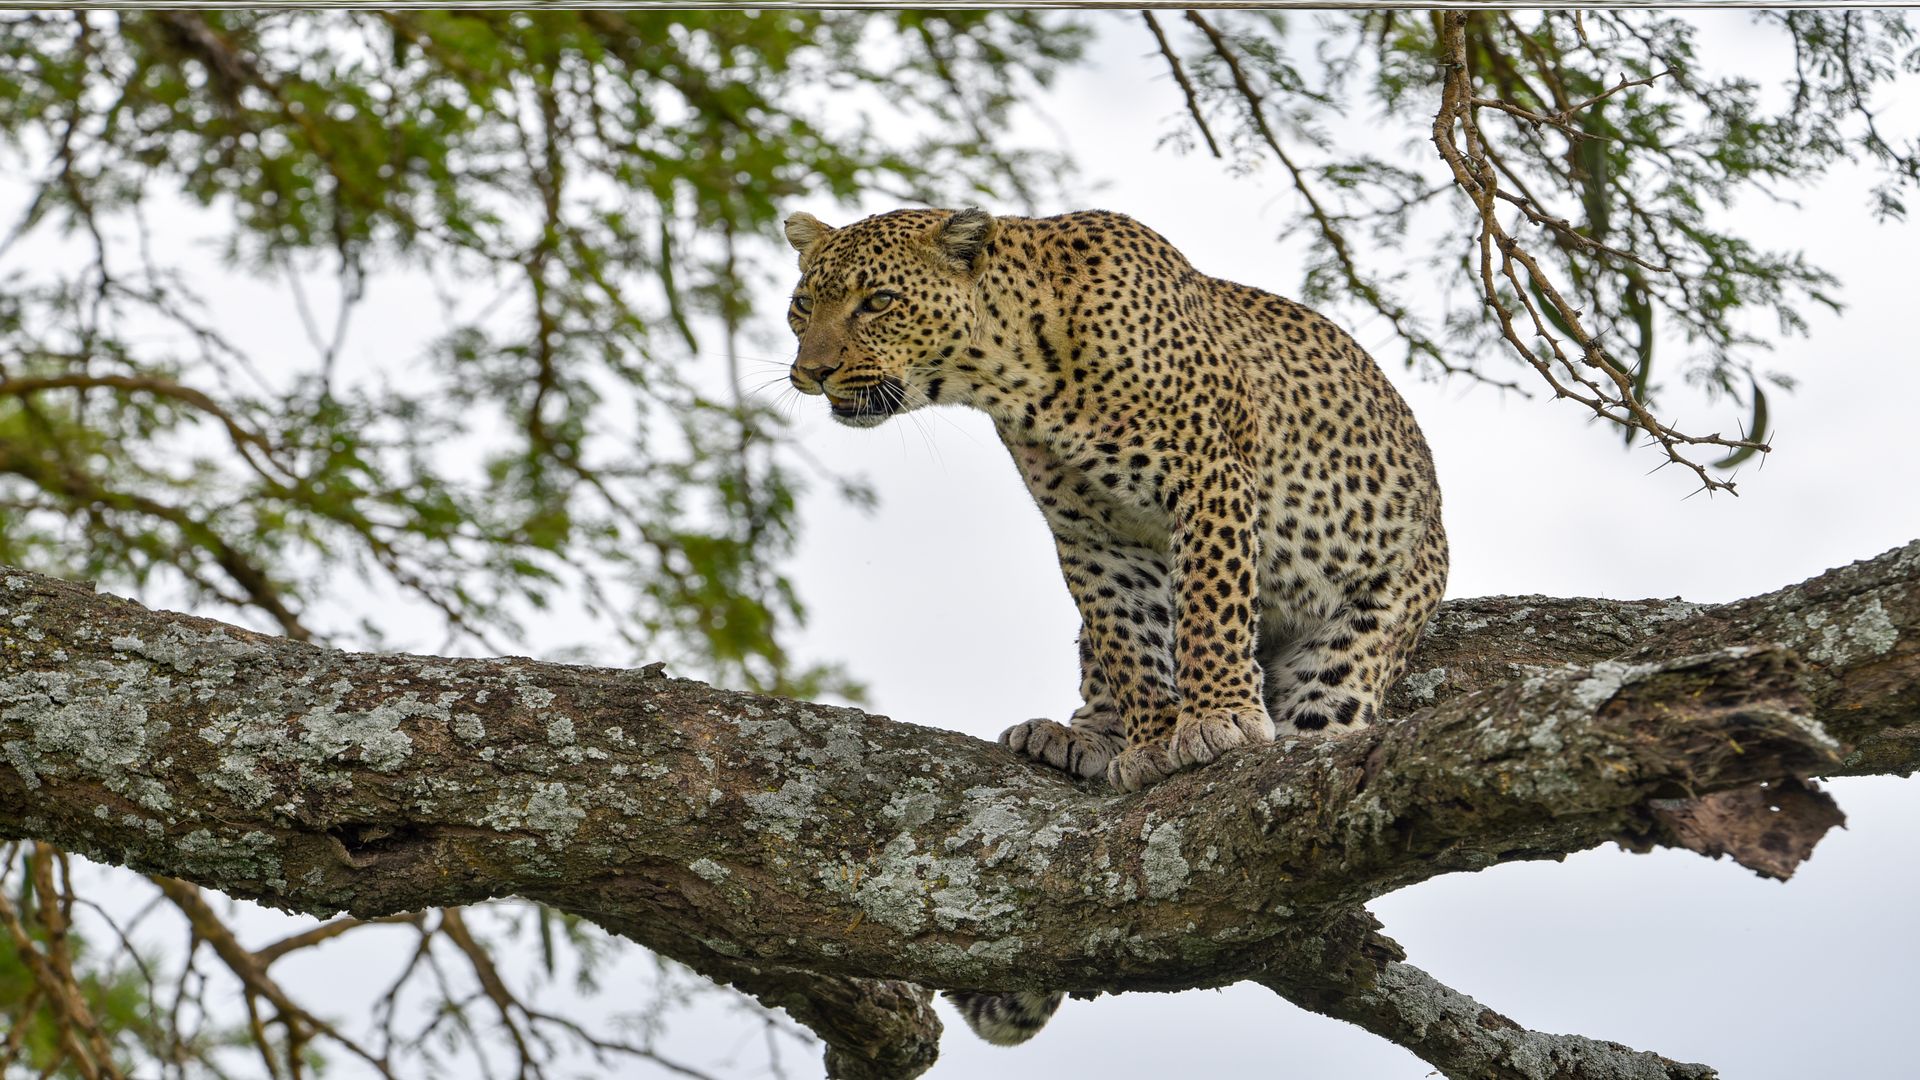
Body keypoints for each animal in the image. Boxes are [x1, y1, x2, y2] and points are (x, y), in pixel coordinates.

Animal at [779, 203, 1443, 1045]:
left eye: (879, 302)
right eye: (804, 307)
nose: (811, 372)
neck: (1021, 375)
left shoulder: (1210, 477)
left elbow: (1210, 608)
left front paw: (1215, 719)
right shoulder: (1093, 537)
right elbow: (1129, 638)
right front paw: (1153, 739)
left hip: (1371, 623)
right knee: (1098, 666)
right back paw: (1076, 736)